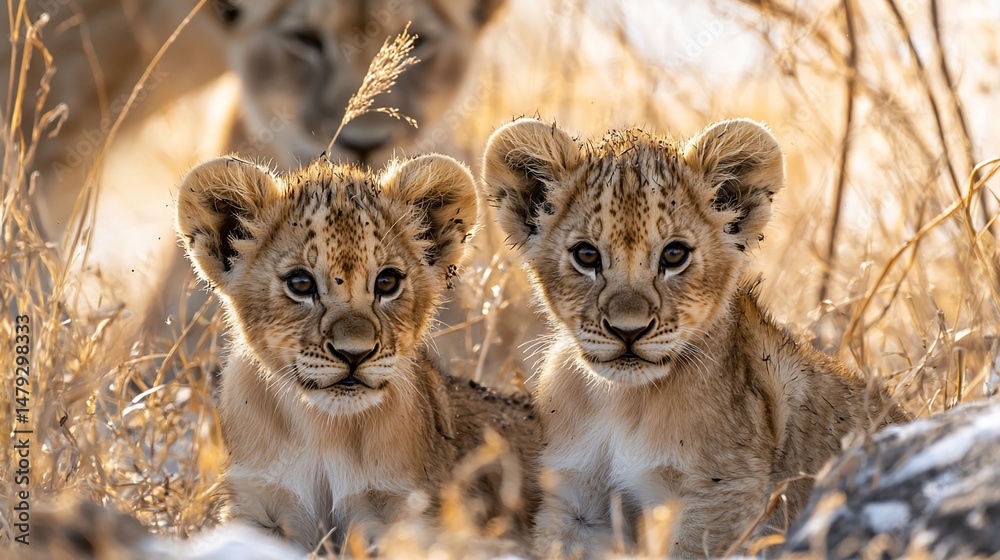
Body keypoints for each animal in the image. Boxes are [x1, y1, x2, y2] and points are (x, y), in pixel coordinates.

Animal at [175, 153, 539, 551]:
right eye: (300, 283)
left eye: (387, 281)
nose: (354, 354)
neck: (325, 431)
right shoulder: (257, 504)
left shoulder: (408, 513)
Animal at [481, 118, 908, 558]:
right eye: (586, 255)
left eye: (674, 255)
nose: (628, 330)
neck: (621, 404)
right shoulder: (576, 502)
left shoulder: (720, 498)